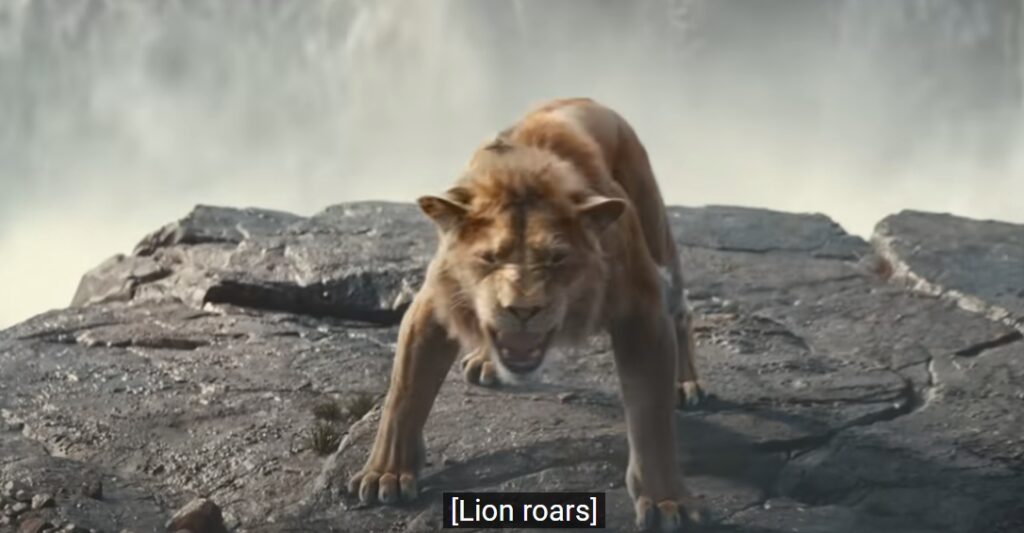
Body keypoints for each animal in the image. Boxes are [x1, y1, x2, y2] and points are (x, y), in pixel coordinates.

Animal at [347, 98, 706, 531]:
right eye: (489, 258)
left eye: (556, 258)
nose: (521, 309)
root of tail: (591, 100)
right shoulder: (433, 304)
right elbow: (404, 394)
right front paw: (386, 473)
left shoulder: (642, 311)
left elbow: (652, 419)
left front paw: (667, 500)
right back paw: (485, 362)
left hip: (655, 228)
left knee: (682, 311)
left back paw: (685, 384)